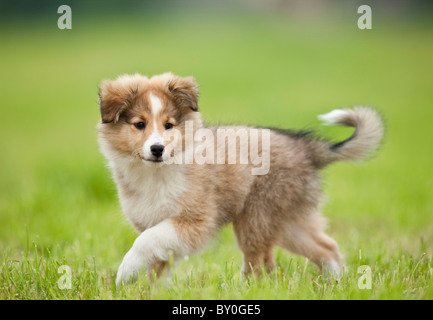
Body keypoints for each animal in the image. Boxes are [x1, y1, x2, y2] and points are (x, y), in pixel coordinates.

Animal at [96, 72, 384, 284]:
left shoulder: (196, 221)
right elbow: (158, 262)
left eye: (169, 125)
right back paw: (336, 282)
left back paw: (245, 287)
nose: (157, 149)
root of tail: (306, 148)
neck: (155, 173)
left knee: (261, 263)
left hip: (257, 215)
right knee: (326, 247)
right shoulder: (155, 222)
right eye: (139, 124)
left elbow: (145, 242)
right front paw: (156, 290)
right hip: (289, 219)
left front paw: (125, 272)